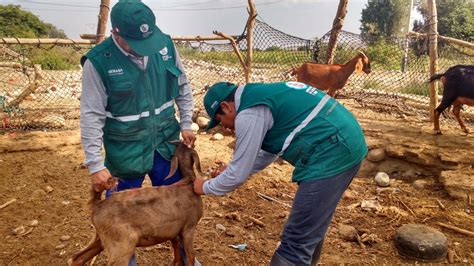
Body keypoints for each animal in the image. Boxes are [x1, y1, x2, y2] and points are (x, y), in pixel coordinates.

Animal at [69, 140, 203, 264]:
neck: (188, 182)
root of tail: (98, 205)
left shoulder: (173, 232)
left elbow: (175, 246)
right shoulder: (189, 227)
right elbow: (191, 255)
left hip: (100, 238)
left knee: (76, 258)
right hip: (122, 245)